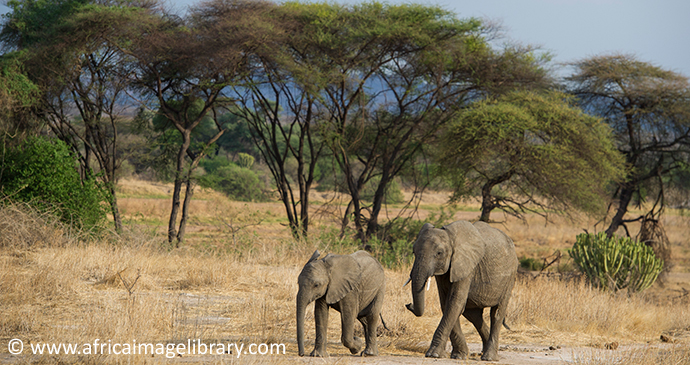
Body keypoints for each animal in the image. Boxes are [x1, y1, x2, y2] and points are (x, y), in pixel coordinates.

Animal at [404, 220, 516, 360]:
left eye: (439, 253)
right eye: (413, 252)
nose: (408, 304)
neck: (451, 237)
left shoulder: (467, 266)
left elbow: (454, 302)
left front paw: (433, 354)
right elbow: (447, 304)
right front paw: (459, 356)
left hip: (509, 277)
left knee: (497, 313)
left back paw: (489, 357)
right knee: (474, 315)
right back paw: (483, 352)